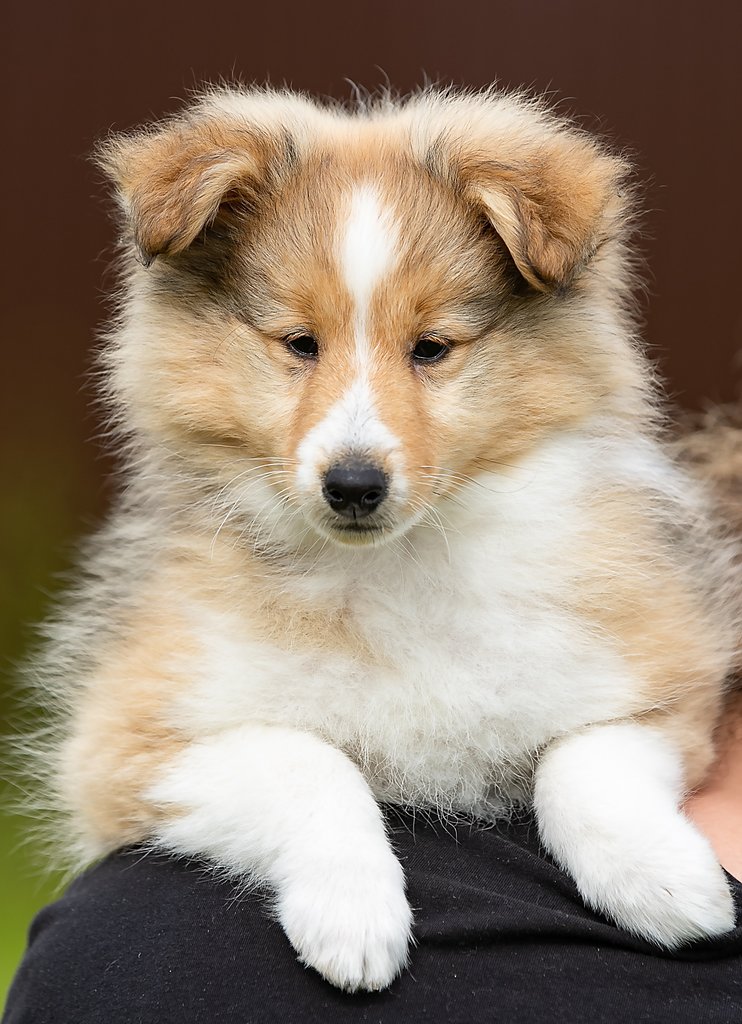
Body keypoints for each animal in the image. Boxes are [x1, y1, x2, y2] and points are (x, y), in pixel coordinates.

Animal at [26, 88, 736, 991]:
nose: (354, 485)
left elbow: (583, 760)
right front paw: (353, 917)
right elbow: (308, 762)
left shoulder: (662, 681)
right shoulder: (127, 742)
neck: (395, 566)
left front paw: (665, 882)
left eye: (432, 348)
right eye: (299, 343)